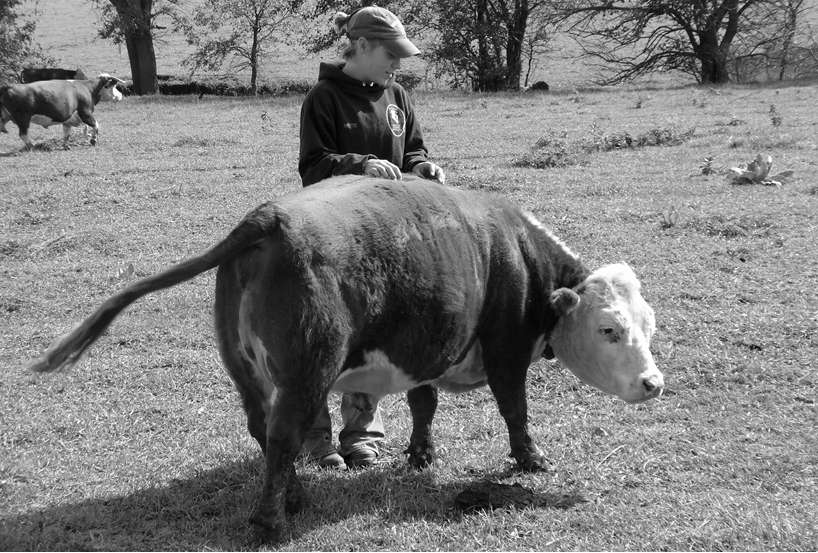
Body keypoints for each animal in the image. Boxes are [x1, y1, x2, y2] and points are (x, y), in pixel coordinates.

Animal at [27, 175, 664, 543]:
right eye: (610, 329)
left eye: (651, 326)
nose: (654, 383)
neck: (520, 258)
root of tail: (270, 218)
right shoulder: (507, 352)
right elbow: (516, 412)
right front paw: (531, 460)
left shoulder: (423, 350)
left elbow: (423, 403)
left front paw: (420, 454)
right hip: (308, 371)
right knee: (284, 435)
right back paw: (271, 521)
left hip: (247, 373)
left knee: (264, 432)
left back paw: (293, 494)